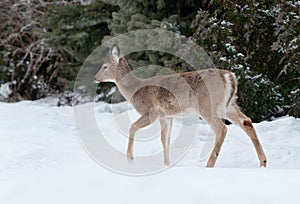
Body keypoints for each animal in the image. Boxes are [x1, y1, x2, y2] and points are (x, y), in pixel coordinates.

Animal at [94, 44, 268, 167]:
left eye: (105, 66)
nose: (95, 78)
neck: (136, 90)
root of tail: (229, 77)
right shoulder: (166, 115)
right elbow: (165, 139)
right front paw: (167, 164)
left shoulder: (151, 111)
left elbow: (133, 127)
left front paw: (129, 157)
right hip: (229, 105)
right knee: (246, 122)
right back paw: (263, 162)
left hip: (207, 105)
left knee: (221, 129)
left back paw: (209, 164)